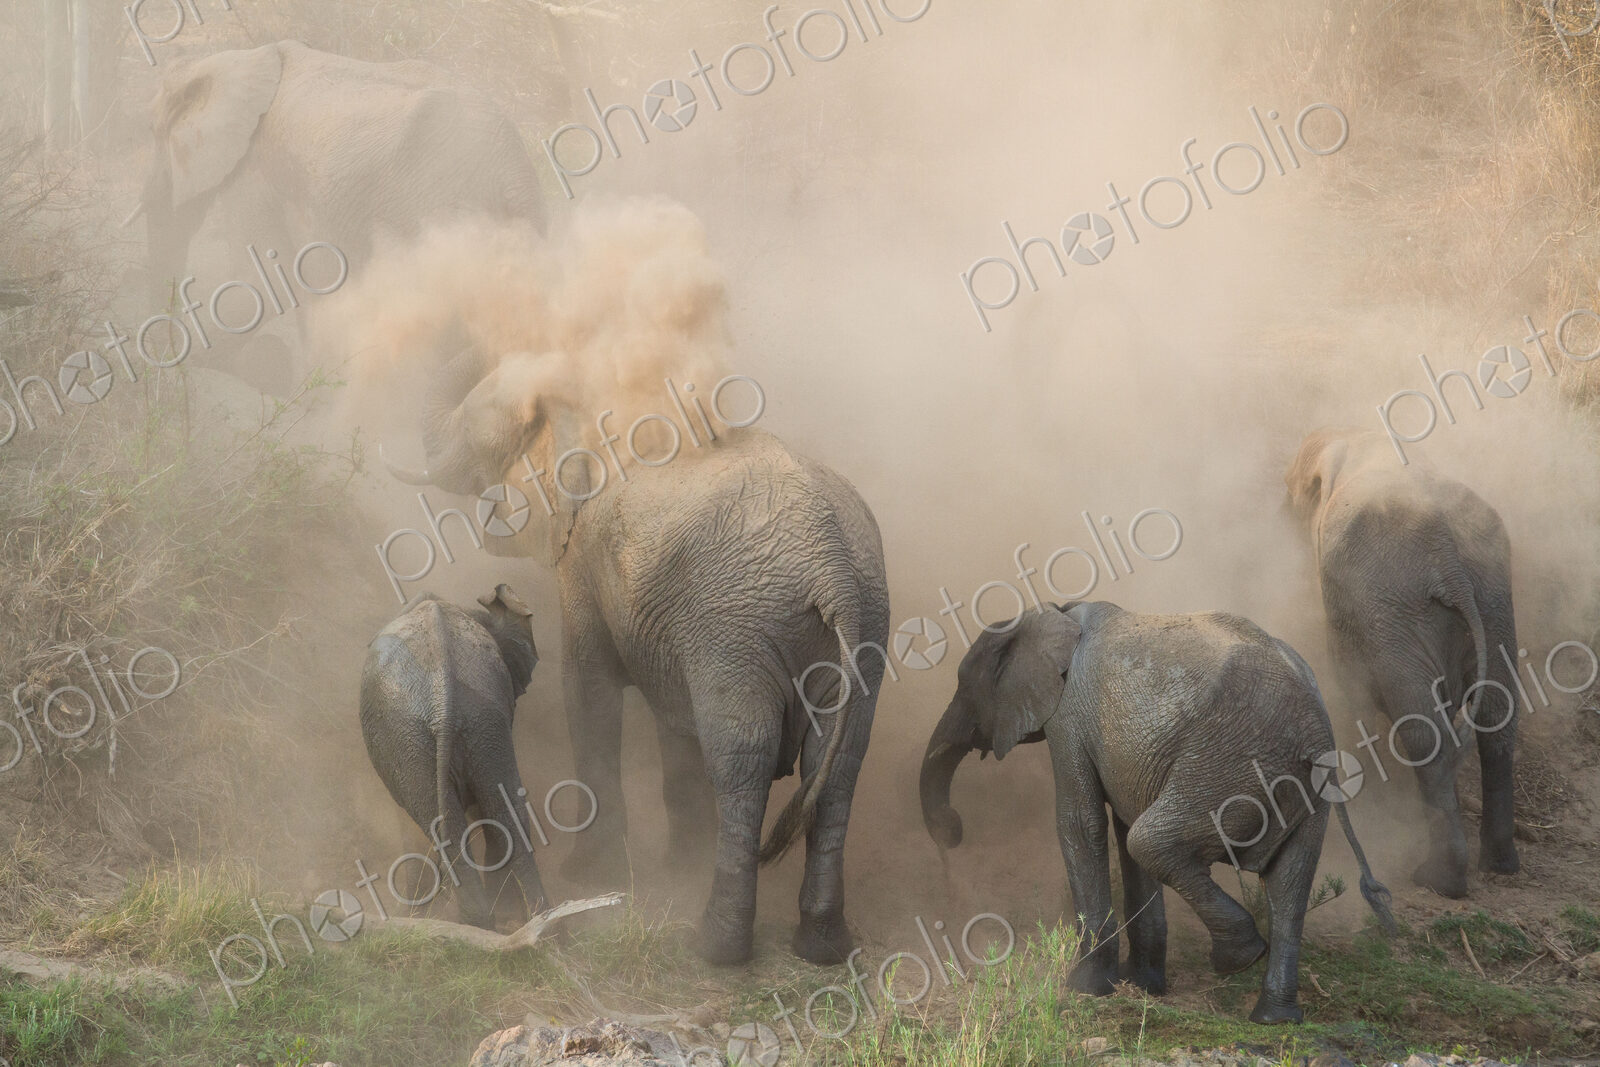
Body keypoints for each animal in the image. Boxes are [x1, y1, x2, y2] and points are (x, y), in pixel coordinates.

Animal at [360, 583, 548, 929]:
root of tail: (442, 700)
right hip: (475, 725)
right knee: (505, 809)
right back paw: (536, 921)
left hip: (419, 735)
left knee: (445, 820)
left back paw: (473, 920)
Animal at [382, 353, 890, 966]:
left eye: (471, 432)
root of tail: (831, 565)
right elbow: (675, 722)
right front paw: (677, 864)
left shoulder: (583, 554)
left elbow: (586, 688)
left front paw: (591, 874)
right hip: (861, 626)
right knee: (837, 763)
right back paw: (821, 947)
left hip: (737, 627)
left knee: (742, 755)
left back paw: (715, 947)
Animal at [919, 601, 1395, 1024]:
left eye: (963, 684)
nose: (951, 831)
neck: (1050, 612)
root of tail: (1316, 728)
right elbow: (1121, 826)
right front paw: (1142, 985)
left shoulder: (1069, 719)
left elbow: (1082, 824)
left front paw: (1085, 988)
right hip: (1300, 789)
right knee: (1288, 886)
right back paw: (1274, 1017)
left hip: (1228, 765)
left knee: (1152, 842)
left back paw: (1239, 958)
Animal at [1285, 428, 1520, 898]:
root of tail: (1448, 561)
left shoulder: (1346, 602)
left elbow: (1350, 687)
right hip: (1493, 600)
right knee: (1497, 720)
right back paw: (1501, 865)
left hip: (1395, 616)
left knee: (1423, 731)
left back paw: (1440, 880)